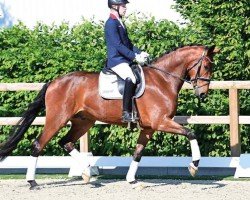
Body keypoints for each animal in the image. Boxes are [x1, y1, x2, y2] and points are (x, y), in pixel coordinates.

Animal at [0, 44, 219, 189]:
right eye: (207, 66)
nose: (203, 94)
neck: (163, 79)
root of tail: (54, 81)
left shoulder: (149, 127)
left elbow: (138, 152)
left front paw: (132, 180)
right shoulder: (161, 122)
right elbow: (190, 133)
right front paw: (194, 166)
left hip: (83, 122)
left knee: (66, 142)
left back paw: (87, 171)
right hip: (57, 119)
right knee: (39, 144)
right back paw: (32, 181)